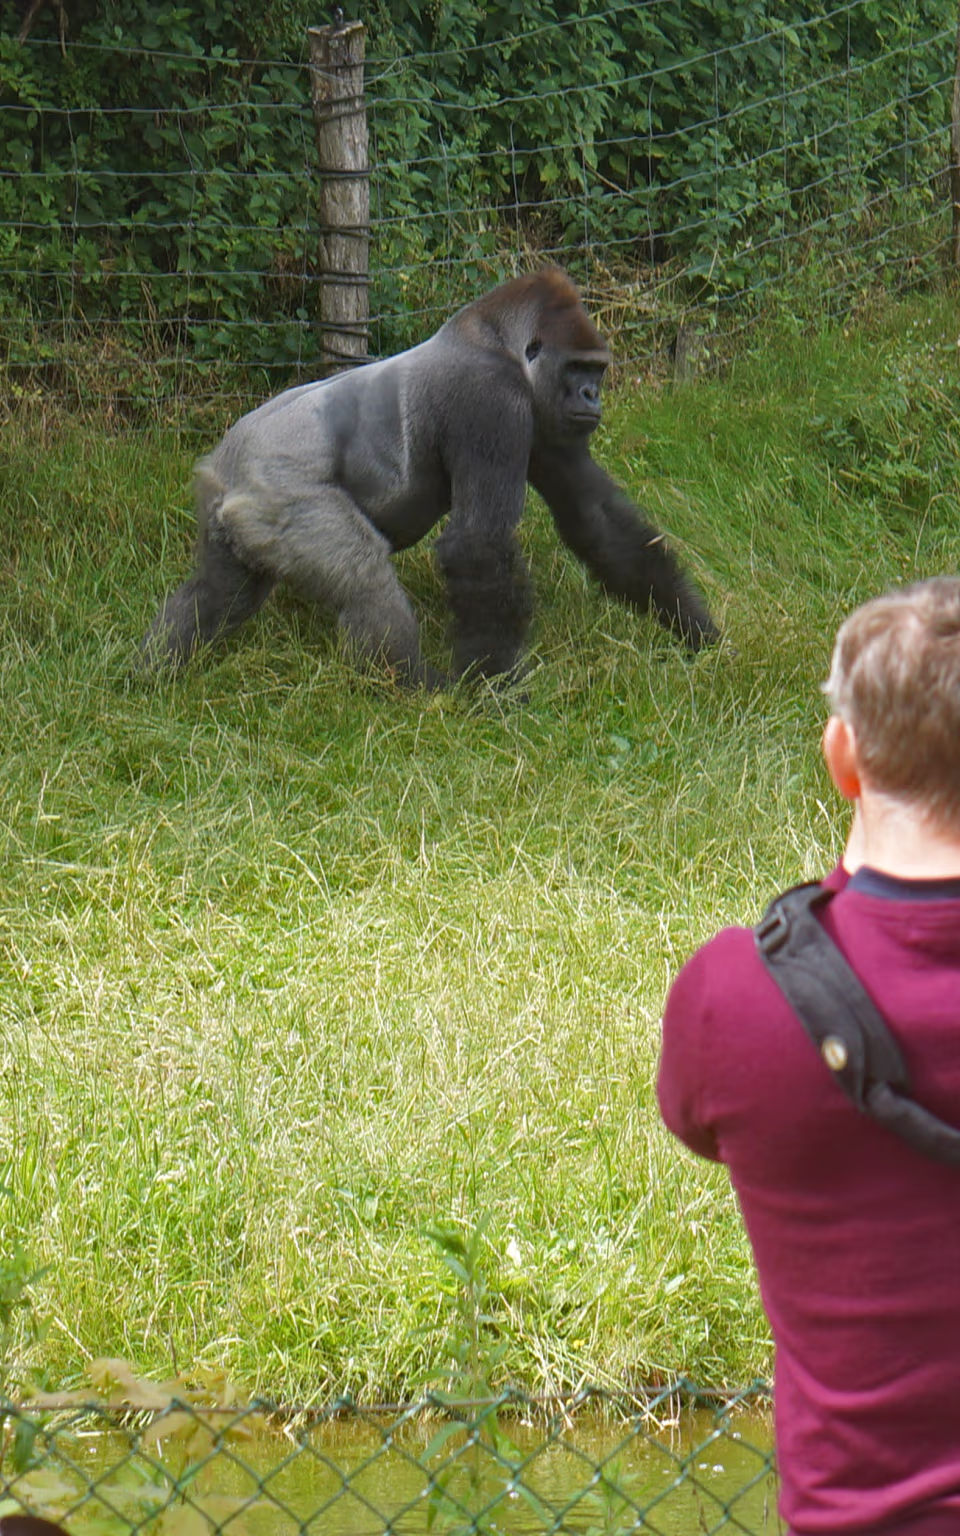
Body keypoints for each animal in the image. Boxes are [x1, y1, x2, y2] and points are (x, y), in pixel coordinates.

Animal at [142, 269, 718, 689]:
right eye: (578, 368)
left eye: (596, 370)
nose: (592, 396)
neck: (495, 338)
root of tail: (226, 466)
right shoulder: (493, 399)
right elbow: (477, 542)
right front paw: (492, 688)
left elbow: (596, 520)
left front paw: (696, 629)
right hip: (278, 493)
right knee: (364, 577)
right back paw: (411, 684)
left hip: (229, 508)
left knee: (219, 592)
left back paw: (155, 670)